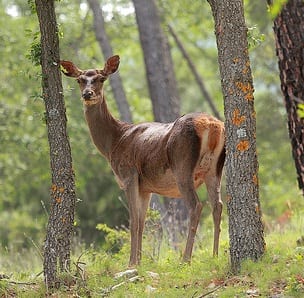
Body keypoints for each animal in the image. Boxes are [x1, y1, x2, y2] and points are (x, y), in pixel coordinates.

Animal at [60, 55, 226, 266]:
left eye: (101, 78)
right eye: (80, 80)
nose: (87, 94)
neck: (114, 142)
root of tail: (213, 126)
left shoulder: (129, 175)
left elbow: (133, 222)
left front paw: (131, 262)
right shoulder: (146, 187)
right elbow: (142, 221)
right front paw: (138, 261)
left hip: (182, 167)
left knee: (196, 205)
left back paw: (185, 259)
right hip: (214, 169)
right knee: (217, 205)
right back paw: (215, 255)